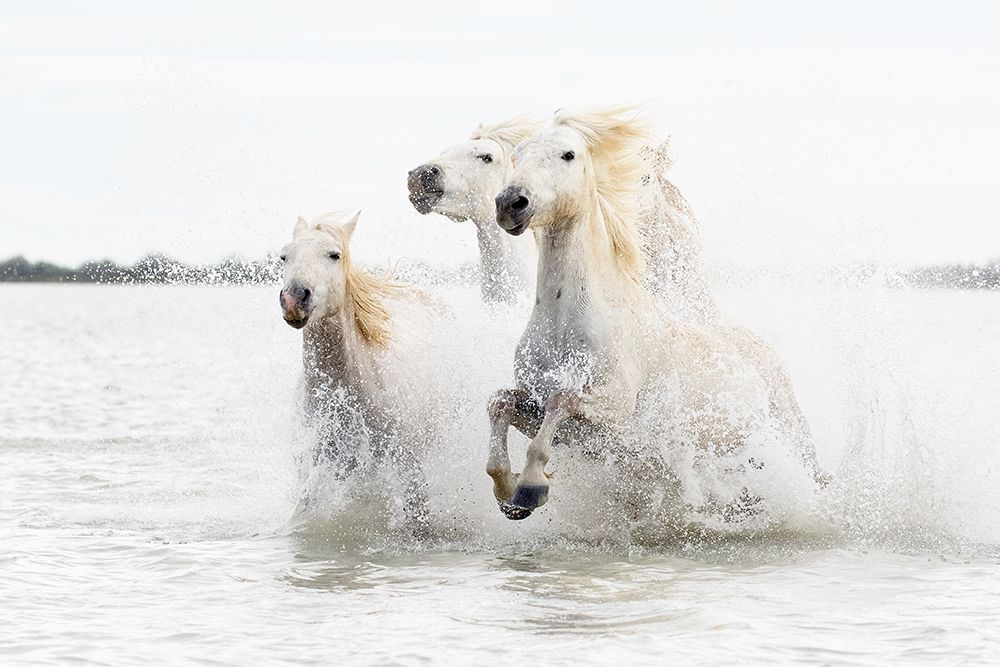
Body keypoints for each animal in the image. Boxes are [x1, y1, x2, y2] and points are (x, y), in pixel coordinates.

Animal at [486, 107, 827, 520]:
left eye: (568, 154)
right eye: (518, 155)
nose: (511, 203)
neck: (565, 323)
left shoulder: (612, 409)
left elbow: (562, 401)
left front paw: (531, 488)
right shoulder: (544, 411)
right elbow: (499, 402)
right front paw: (507, 492)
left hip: (792, 441)